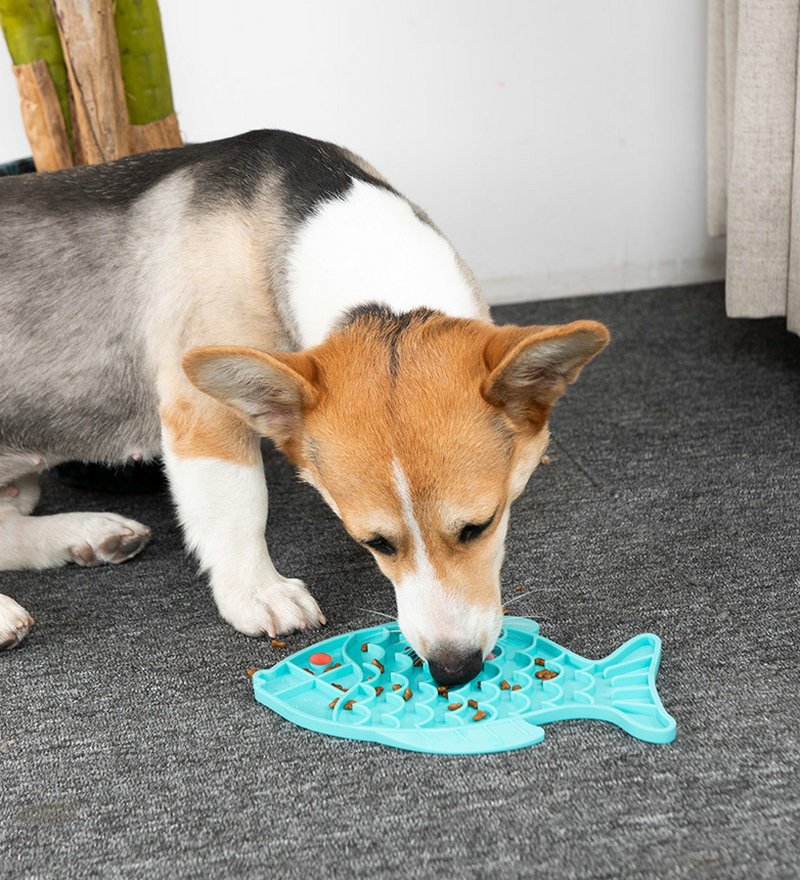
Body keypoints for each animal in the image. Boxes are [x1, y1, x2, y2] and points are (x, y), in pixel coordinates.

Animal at [0, 130, 608, 685]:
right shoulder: (202, 411)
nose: (453, 671)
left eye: (480, 527)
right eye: (374, 543)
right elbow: (239, 507)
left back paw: (89, 535)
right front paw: (258, 593)